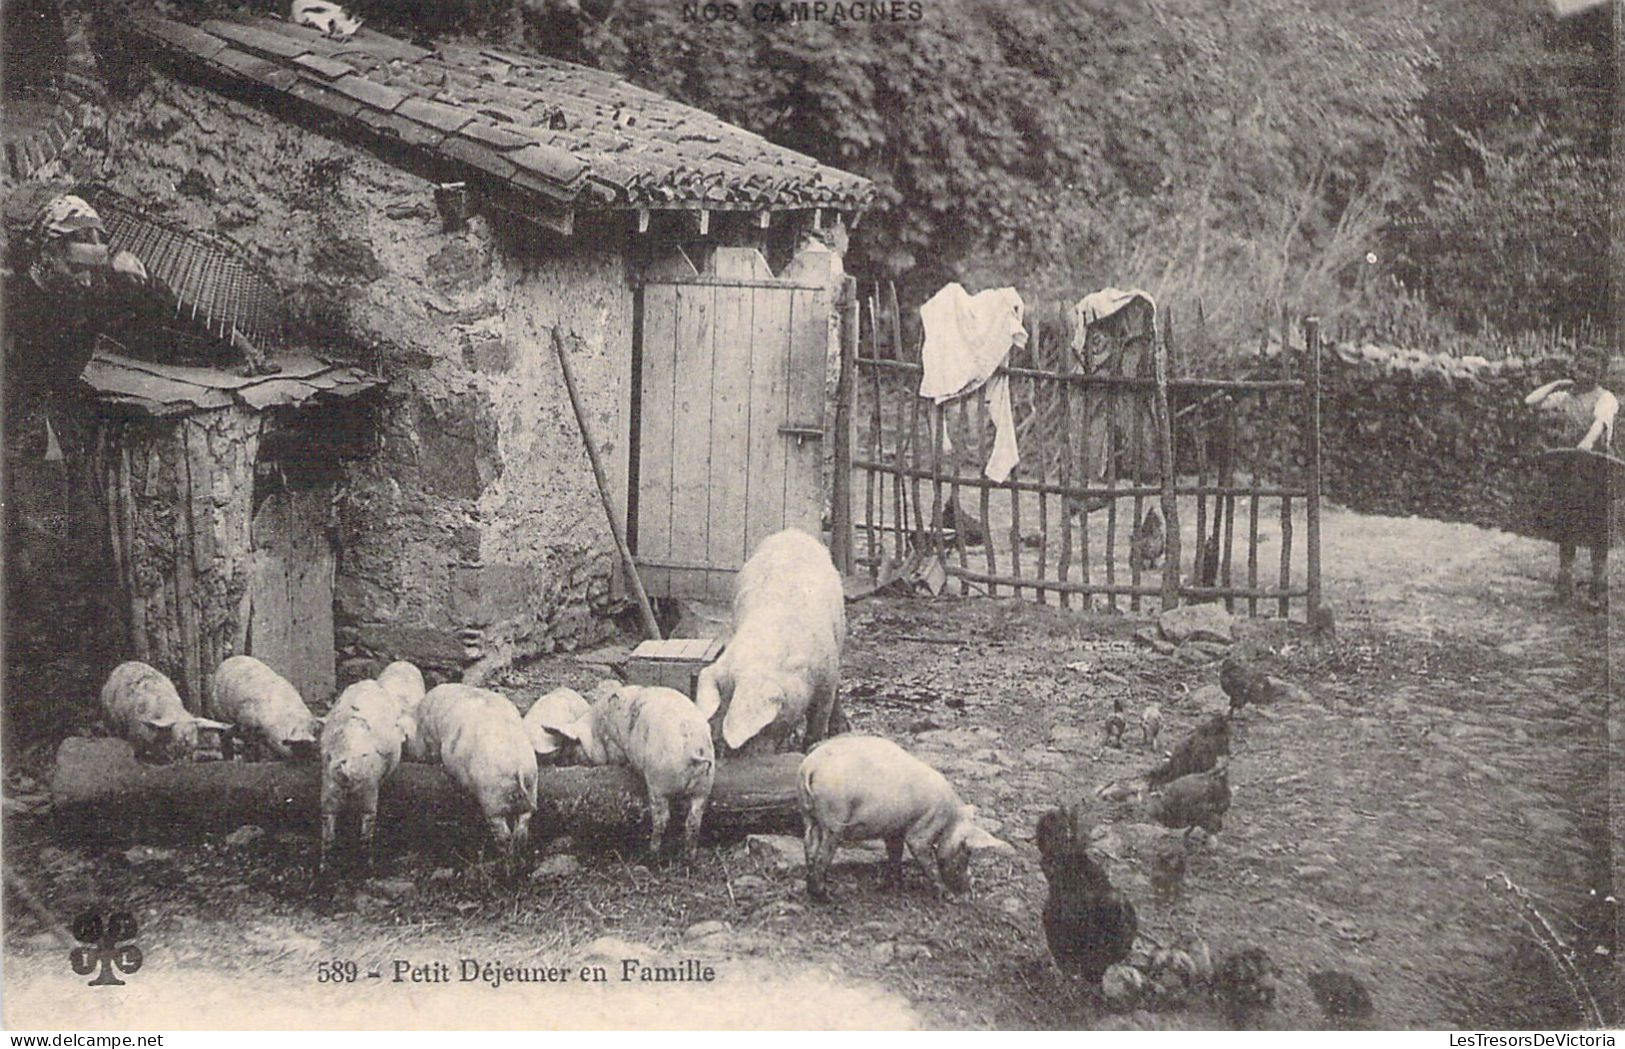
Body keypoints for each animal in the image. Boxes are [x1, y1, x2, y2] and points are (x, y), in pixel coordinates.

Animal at [98, 665, 230, 763]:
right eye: (176, 737)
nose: (183, 759)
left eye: (194, 741)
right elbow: (139, 749)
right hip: (110, 719)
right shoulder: (135, 732)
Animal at [409, 685, 536, 870]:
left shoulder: (430, 737)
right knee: (522, 828)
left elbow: (434, 752)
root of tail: (517, 766)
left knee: (504, 834)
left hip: (493, 800)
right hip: (531, 787)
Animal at [695, 535, 851, 756]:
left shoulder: (826, 680)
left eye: (761, 728)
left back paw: (842, 730)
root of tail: (792, 533)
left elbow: (818, 722)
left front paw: (808, 749)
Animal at [793, 737, 1007, 902]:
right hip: (834, 820)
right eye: (966, 854)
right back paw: (827, 897)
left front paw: (893, 885)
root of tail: (810, 767)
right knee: (822, 855)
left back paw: (813, 891)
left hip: (807, 814)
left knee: (809, 847)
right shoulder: (921, 831)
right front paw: (946, 895)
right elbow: (926, 861)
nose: (969, 896)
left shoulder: (893, 831)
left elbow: (895, 855)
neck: (949, 820)